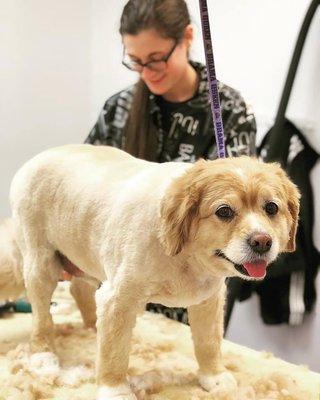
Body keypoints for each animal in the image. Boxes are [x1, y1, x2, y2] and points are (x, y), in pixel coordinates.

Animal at [10, 145, 300, 400]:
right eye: (224, 212)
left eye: (271, 208)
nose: (262, 241)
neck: (183, 254)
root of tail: (37, 158)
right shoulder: (118, 299)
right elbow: (114, 354)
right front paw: (115, 390)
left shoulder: (209, 299)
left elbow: (209, 343)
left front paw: (214, 377)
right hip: (41, 265)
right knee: (43, 318)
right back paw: (43, 353)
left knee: (78, 288)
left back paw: (93, 327)